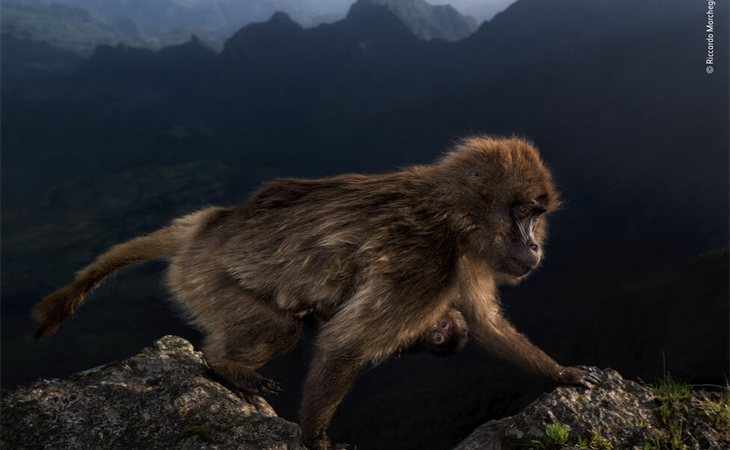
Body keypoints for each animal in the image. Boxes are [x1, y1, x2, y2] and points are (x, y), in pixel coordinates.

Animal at [31, 137, 596, 450]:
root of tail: (208, 226)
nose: (534, 247)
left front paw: (562, 374)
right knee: (276, 327)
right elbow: (346, 345)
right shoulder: (425, 261)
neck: (454, 216)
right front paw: (314, 440)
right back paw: (224, 365)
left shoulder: (466, 262)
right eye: (522, 213)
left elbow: (483, 327)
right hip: (203, 279)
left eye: (536, 215)